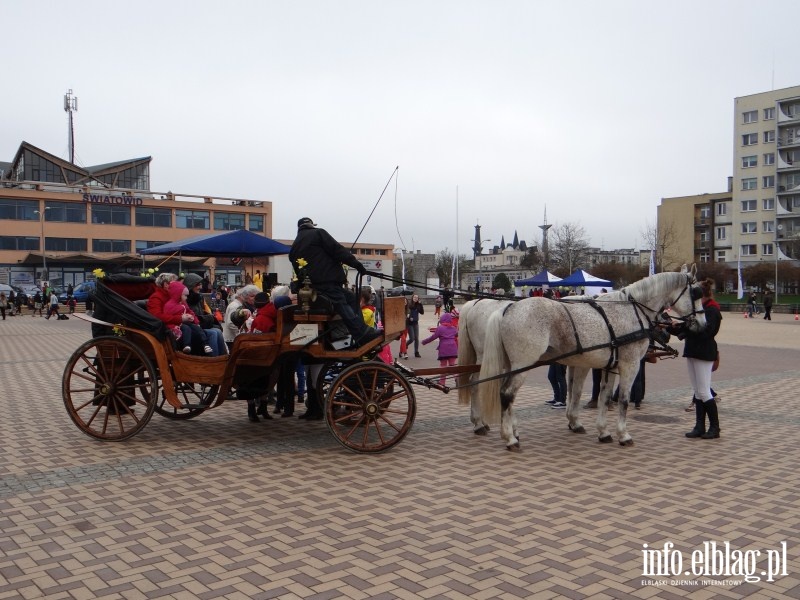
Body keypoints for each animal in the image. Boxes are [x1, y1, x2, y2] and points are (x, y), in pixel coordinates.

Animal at [476, 268, 708, 450]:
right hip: (523, 364)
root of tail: (508, 308)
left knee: (506, 395)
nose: (703, 325)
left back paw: (512, 432)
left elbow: (604, 397)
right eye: (696, 293)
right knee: (507, 394)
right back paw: (509, 438)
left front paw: (603, 432)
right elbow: (623, 399)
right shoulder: (630, 365)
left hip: (512, 365)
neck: (632, 310)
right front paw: (623, 435)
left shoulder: (609, 366)